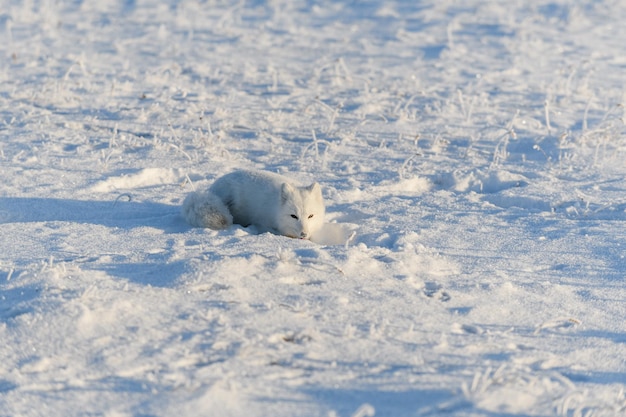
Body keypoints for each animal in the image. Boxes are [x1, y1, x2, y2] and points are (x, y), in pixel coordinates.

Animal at [180, 169, 324, 239]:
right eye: (293, 216)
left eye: (310, 216)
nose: (304, 234)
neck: (275, 208)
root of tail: (213, 188)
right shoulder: (263, 223)